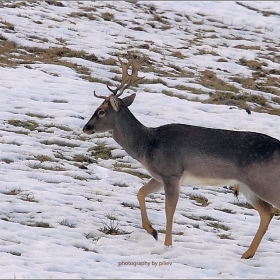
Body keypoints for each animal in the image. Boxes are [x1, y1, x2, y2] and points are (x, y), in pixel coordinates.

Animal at [82, 55, 280, 260]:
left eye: (101, 111)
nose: (85, 128)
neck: (147, 145)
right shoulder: (160, 176)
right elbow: (140, 192)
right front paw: (152, 231)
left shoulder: (172, 173)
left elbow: (169, 209)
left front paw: (167, 245)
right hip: (248, 186)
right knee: (267, 212)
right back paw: (246, 254)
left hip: (265, 182)